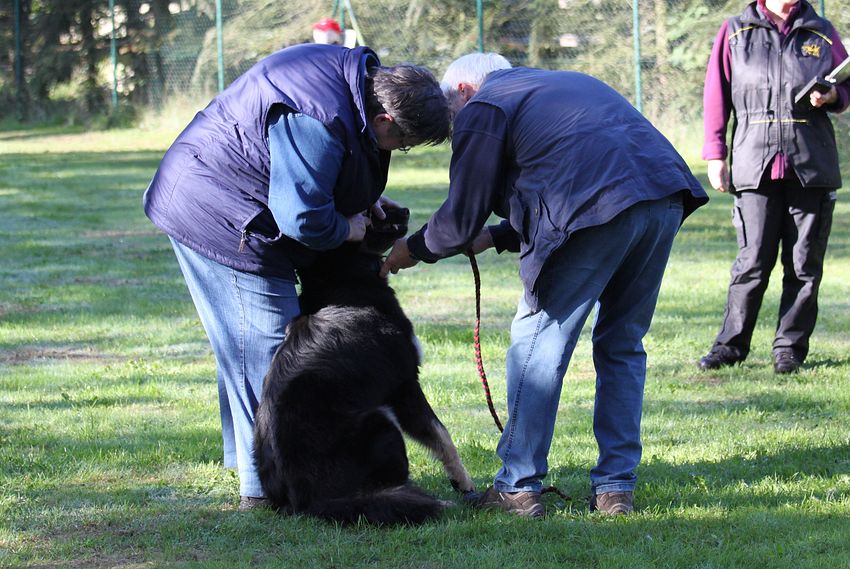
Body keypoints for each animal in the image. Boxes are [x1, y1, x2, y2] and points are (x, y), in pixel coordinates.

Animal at [253, 207, 474, 525]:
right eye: (369, 212)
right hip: (380, 422)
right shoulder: (405, 386)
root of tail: (308, 502)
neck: (343, 279)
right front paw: (462, 480)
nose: (404, 210)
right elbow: (441, 434)